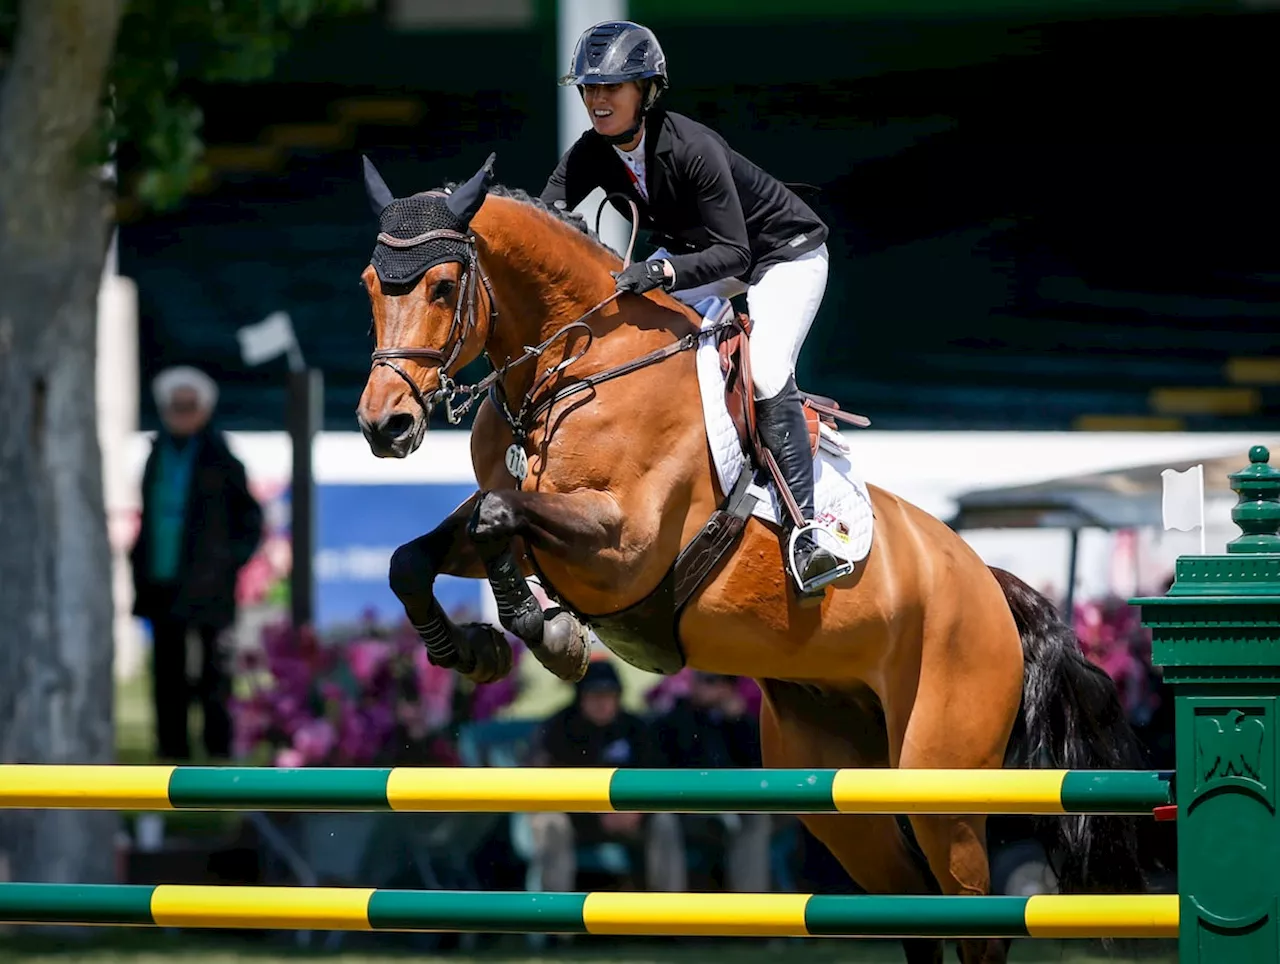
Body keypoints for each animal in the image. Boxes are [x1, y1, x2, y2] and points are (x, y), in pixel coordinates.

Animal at [355, 154, 1146, 957]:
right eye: (369, 285)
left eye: (442, 287)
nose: (385, 426)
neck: (579, 364)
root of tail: (991, 584)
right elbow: (418, 555)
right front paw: (474, 649)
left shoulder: (622, 547)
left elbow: (497, 517)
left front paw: (550, 635)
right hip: (841, 783)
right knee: (914, 910)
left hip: (940, 775)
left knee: (973, 918)